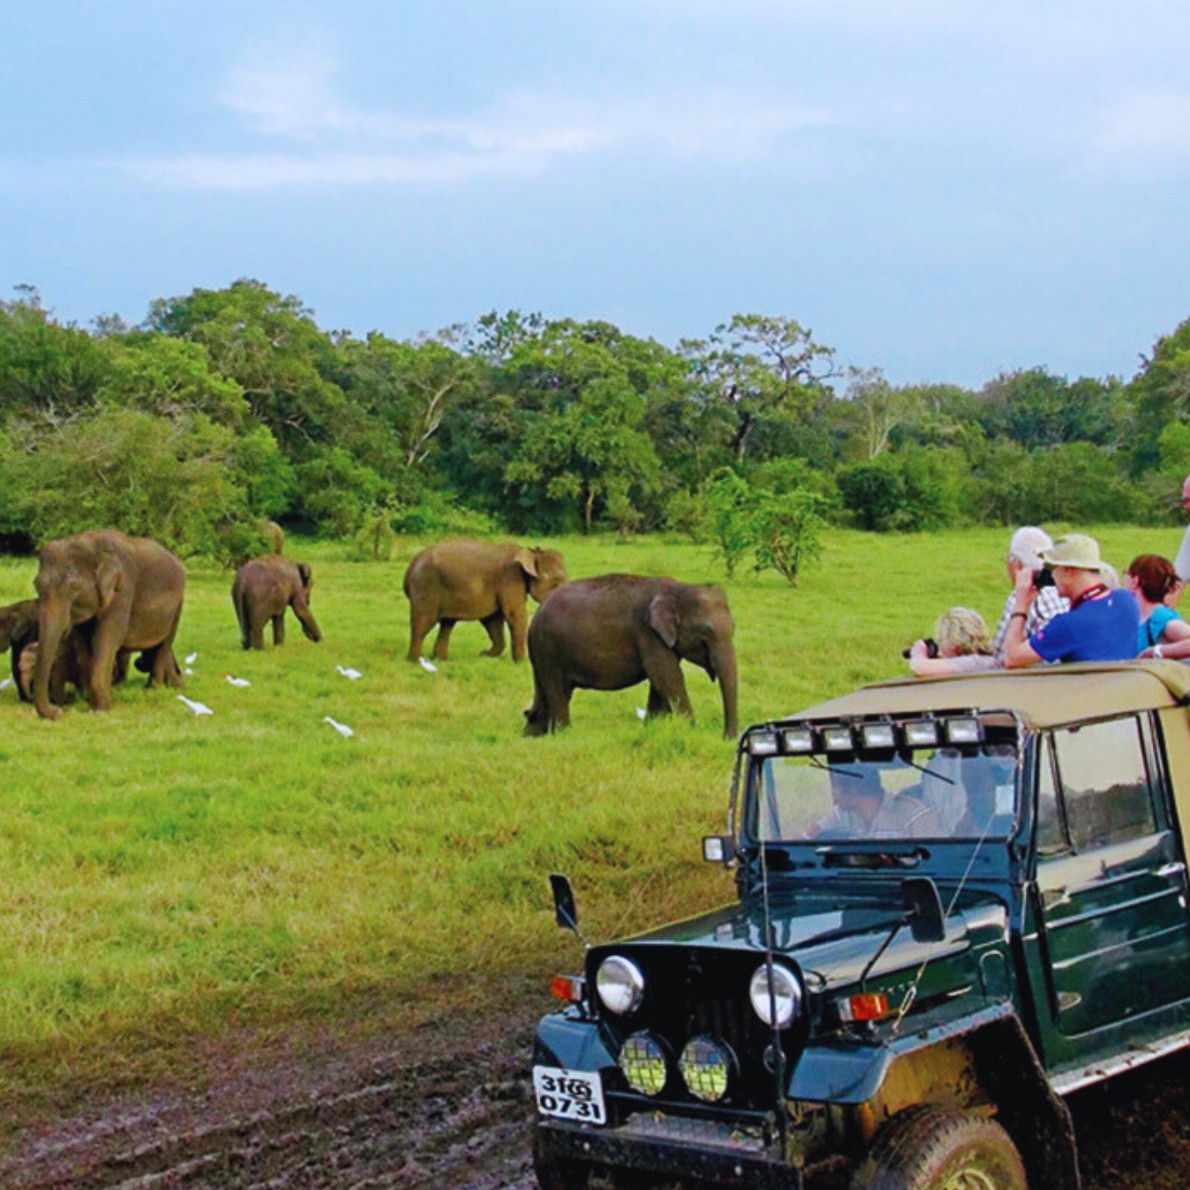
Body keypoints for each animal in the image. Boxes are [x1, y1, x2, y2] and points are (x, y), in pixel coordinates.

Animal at [31, 528, 185, 714]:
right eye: (36, 586)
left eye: (72, 587)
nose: (57, 711)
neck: (91, 544)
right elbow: (82, 643)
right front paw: (88, 700)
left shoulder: (123, 587)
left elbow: (107, 638)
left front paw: (101, 709)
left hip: (178, 604)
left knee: (164, 644)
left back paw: (154, 690)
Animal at [406, 542, 568, 666]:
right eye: (557, 580)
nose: (481, 652)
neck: (531, 551)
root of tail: (410, 566)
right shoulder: (510, 579)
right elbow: (514, 615)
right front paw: (522, 664)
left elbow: (493, 619)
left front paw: (484, 655)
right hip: (425, 587)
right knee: (423, 622)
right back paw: (415, 661)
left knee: (447, 623)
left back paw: (442, 660)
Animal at [525, 573, 737, 737]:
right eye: (705, 633)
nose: (727, 738)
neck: (679, 588)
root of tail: (535, 618)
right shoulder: (648, 635)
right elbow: (669, 678)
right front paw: (691, 731)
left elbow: (660, 683)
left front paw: (651, 730)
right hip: (549, 649)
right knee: (557, 691)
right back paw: (564, 734)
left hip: (545, 651)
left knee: (548, 692)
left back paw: (535, 736)